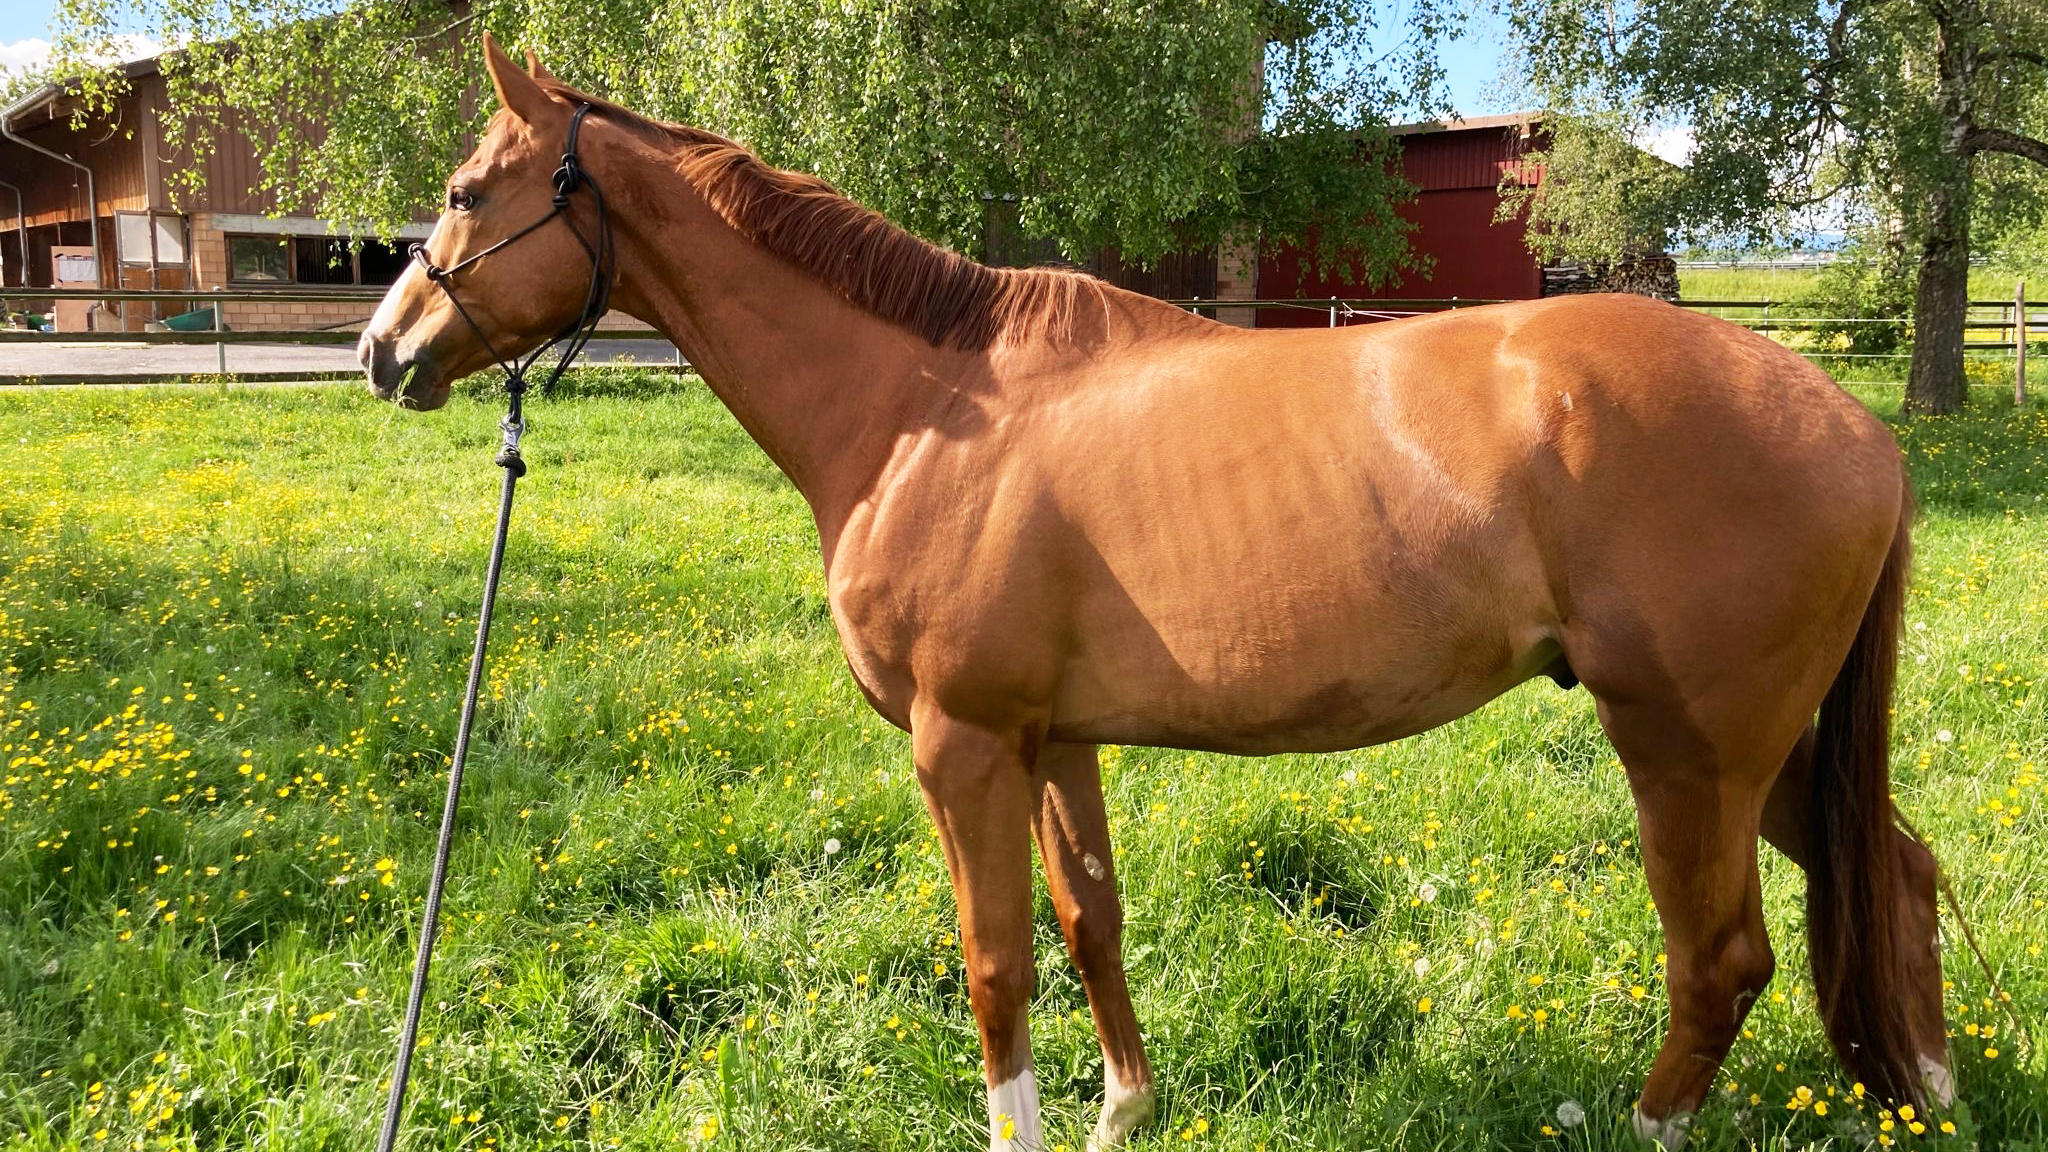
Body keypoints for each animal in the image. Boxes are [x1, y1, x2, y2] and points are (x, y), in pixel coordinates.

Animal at [360, 35, 1951, 1150]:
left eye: (464, 192)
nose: (384, 350)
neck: (926, 407)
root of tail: (1856, 430)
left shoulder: (959, 746)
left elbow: (995, 964)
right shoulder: (1052, 737)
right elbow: (1089, 922)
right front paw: (1124, 1109)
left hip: (1687, 754)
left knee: (1721, 960)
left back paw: (1648, 1121)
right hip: (1769, 753)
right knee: (1896, 873)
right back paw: (1932, 1090)